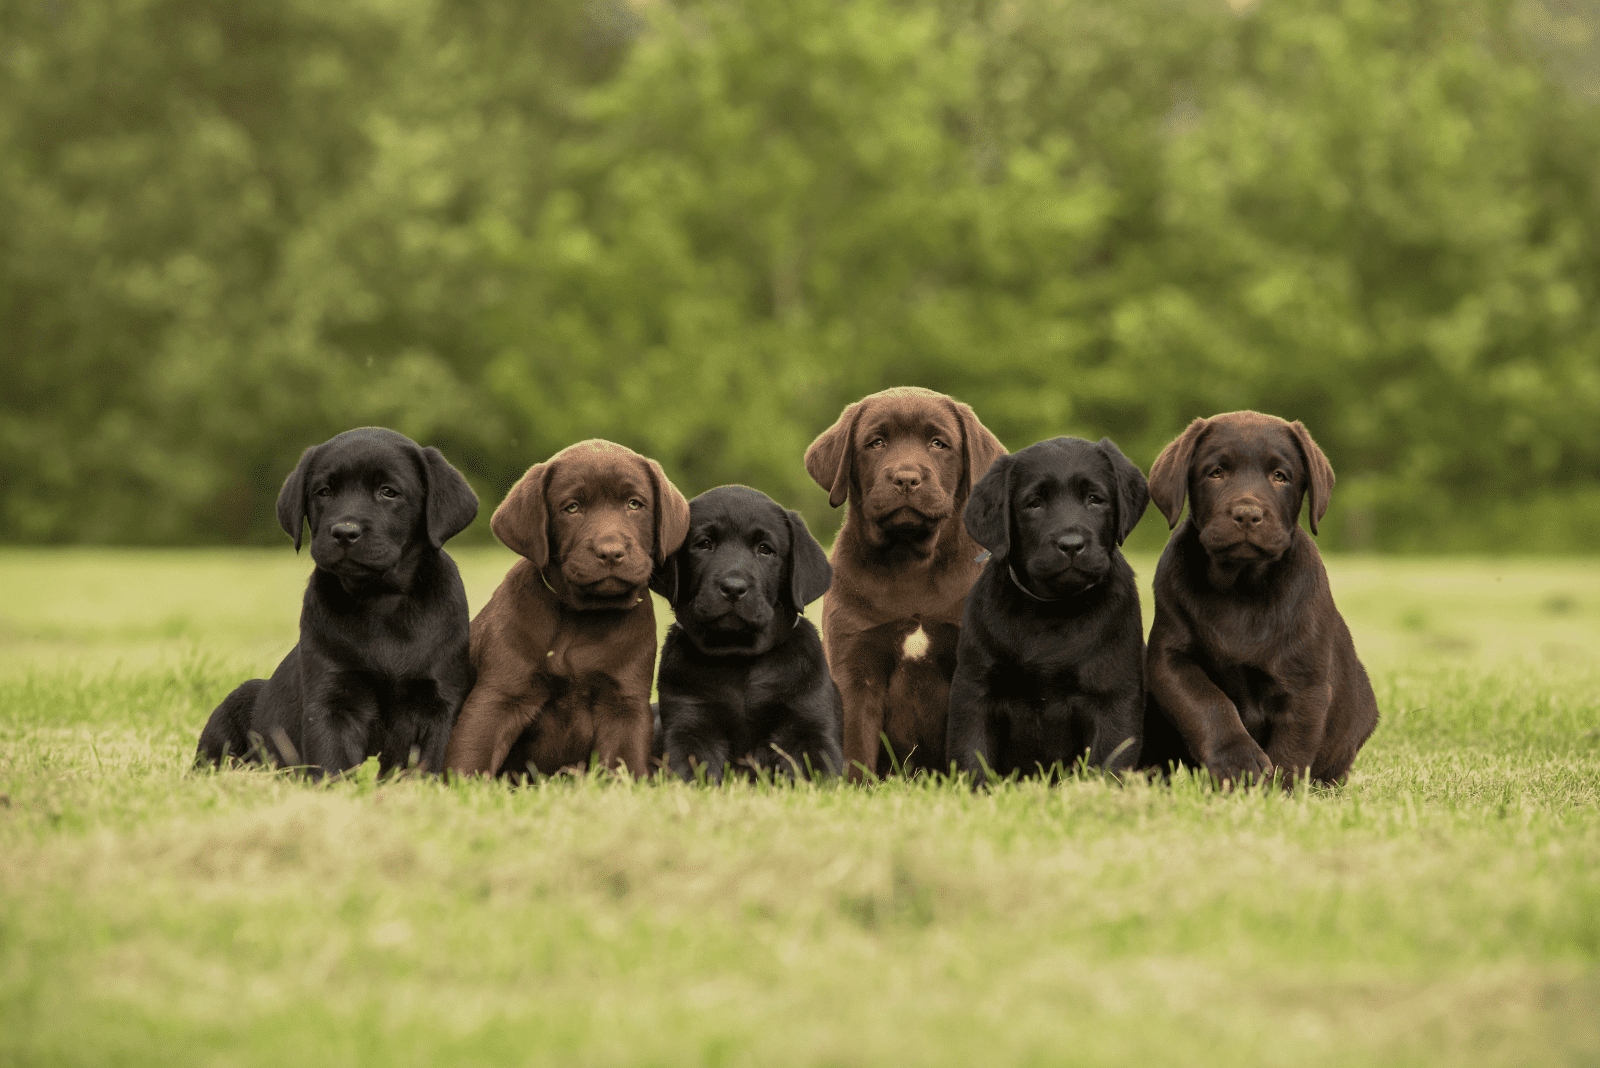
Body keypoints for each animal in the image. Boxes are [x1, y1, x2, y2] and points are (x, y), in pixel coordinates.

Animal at [196, 425, 476, 777]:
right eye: (324, 492)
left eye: (389, 492)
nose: (344, 531)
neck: (380, 601)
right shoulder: (330, 700)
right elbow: (332, 762)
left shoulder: (439, 702)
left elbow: (429, 764)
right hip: (234, 706)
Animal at [652, 489, 844, 780]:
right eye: (704, 544)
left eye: (765, 549)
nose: (733, 587)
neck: (739, 660)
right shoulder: (689, 723)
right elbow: (691, 772)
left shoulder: (808, 725)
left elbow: (818, 774)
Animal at [940, 438, 1158, 780]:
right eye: (1034, 504)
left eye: (1095, 499)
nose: (1071, 544)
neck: (1055, 609)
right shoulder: (974, 690)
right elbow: (971, 755)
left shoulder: (1113, 695)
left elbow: (1107, 760)